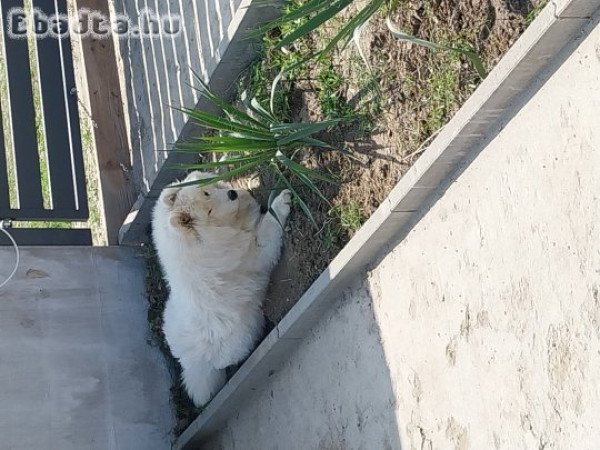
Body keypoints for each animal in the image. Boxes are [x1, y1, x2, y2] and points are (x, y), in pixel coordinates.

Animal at [151, 171, 290, 406]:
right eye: (208, 211)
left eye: (207, 191)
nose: (232, 194)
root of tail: (192, 362)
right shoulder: (257, 252)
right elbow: (269, 226)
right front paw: (282, 201)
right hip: (240, 339)